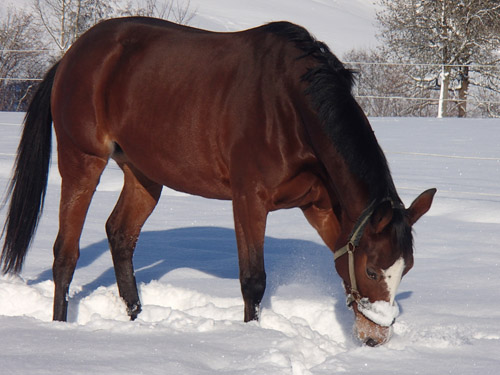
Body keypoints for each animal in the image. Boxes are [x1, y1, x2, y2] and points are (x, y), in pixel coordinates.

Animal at [0, 17, 434, 346]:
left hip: (144, 175)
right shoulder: (249, 200)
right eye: (374, 271)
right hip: (82, 161)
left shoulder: (322, 209)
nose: (376, 337)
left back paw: (136, 320)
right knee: (65, 252)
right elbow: (253, 281)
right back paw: (61, 327)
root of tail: (71, 55)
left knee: (120, 235)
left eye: (408, 268)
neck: (291, 106)